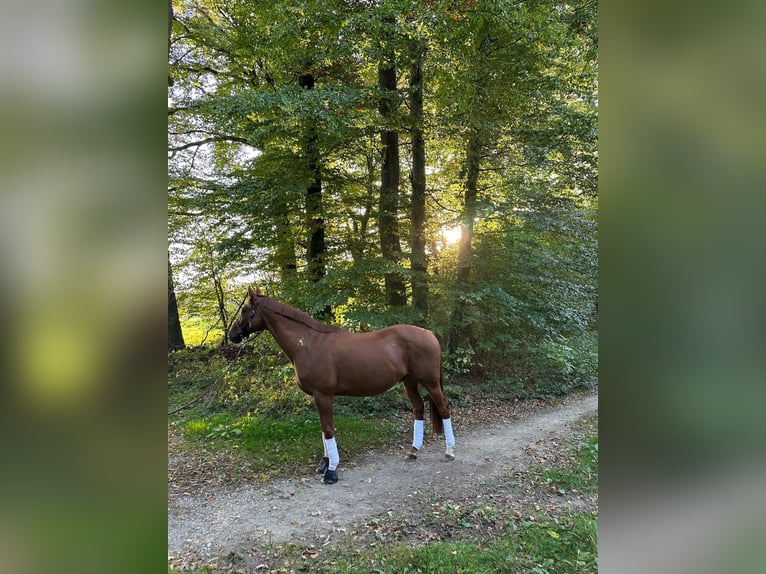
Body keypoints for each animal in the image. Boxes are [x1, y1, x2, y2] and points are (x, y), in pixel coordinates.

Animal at [228, 288, 456, 486]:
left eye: (244, 310)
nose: (232, 335)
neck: (308, 344)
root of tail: (429, 334)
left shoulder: (323, 395)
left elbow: (328, 430)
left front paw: (331, 471)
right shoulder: (317, 396)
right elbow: (323, 429)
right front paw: (325, 463)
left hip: (430, 383)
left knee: (444, 410)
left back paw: (450, 452)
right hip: (409, 382)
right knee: (418, 409)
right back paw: (413, 451)